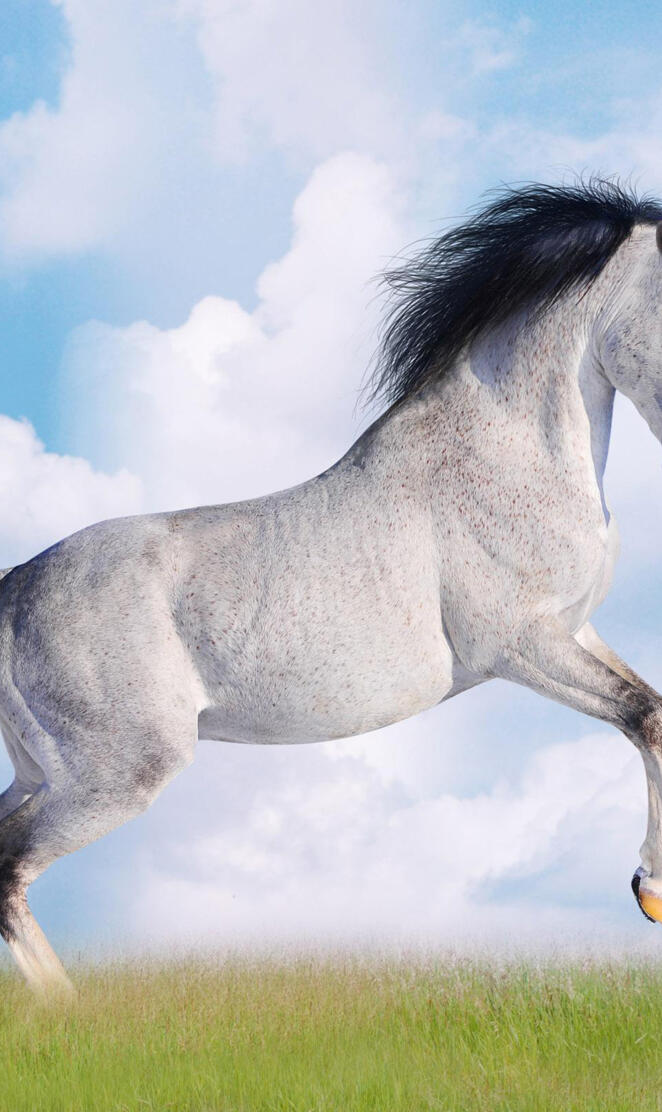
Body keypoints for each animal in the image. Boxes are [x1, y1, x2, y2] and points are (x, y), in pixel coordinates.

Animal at [2, 179, 662, 995]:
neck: (506, 451)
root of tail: (14, 590)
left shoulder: (574, 632)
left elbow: (650, 708)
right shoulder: (520, 646)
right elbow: (644, 715)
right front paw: (651, 892)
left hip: (40, 770)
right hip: (115, 773)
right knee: (11, 869)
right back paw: (75, 1014)